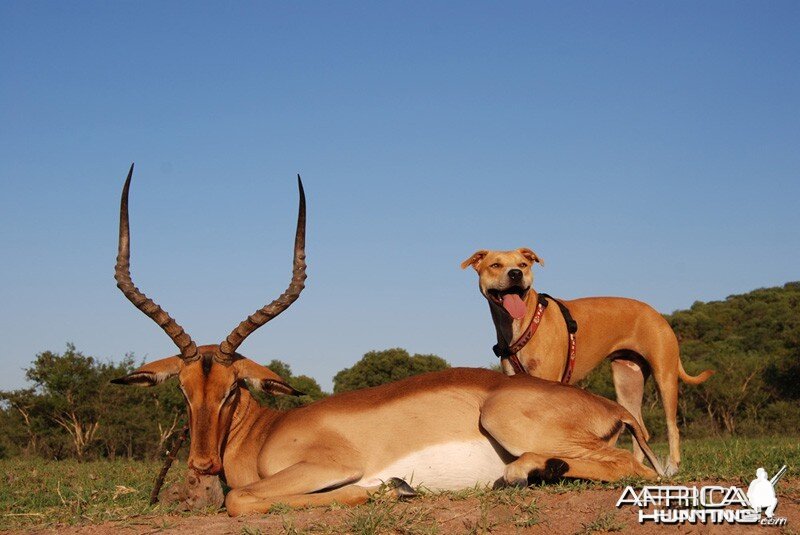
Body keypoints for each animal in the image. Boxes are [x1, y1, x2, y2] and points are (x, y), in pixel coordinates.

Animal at [460, 249, 716, 476]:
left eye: (523, 264)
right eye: (495, 265)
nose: (515, 274)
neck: (523, 323)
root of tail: (656, 313)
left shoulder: (546, 380)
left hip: (665, 376)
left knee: (673, 427)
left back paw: (672, 467)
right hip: (627, 383)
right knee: (640, 430)